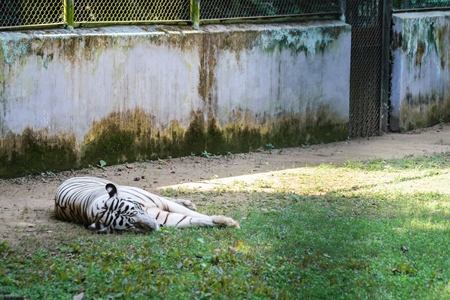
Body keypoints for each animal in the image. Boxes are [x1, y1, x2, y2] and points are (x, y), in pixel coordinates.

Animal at [53, 177, 239, 233]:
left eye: (135, 211)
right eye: (131, 225)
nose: (154, 226)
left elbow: (195, 215)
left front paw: (229, 221)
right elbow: (190, 220)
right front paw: (224, 222)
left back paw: (188, 202)